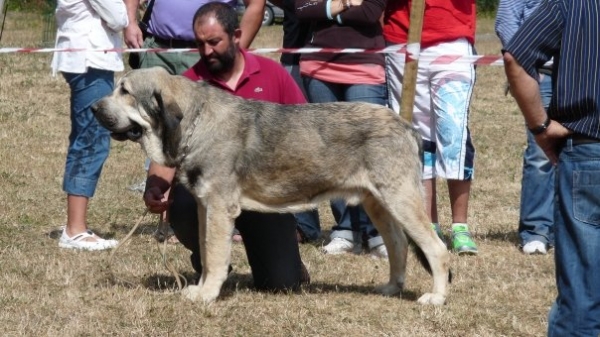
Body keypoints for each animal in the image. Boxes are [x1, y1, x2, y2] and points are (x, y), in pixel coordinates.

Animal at [92, 65, 450, 304]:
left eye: (125, 91)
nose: (93, 107)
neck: (196, 122)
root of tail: (407, 126)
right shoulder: (205, 207)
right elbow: (206, 253)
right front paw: (201, 287)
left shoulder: (219, 208)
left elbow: (216, 256)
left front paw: (208, 294)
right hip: (378, 203)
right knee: (398, 245)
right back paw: (391, 288)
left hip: (401, 200)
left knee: (436, 249)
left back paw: (436, 297)